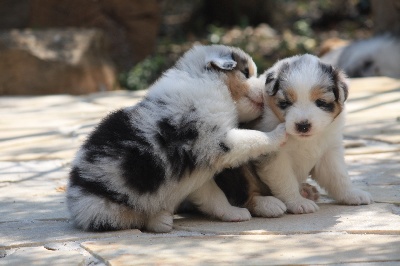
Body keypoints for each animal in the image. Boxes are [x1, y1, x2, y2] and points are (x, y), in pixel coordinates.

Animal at [66, 44, 288, 232]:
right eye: (246, 73)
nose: (265, 90)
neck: (211, 82)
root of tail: (74, 195)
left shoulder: (198, 172)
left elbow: (214, 196)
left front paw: (232, 213)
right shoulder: (216, 140)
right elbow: (253, 138)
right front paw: (280, 132)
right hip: (104, 206)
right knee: (128, 218)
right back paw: (160, 219)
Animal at [216, 53, 372, 216]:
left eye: (320, 102)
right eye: (286, 103)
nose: (303, 126)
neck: (304, 140)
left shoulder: (329, 152)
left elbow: (339, 176)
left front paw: (352, 194)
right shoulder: (276, 157)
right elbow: (286, 181)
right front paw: (298, 203)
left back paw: (306, 191)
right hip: (239, 168)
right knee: (245, 194)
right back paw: (268, 204)